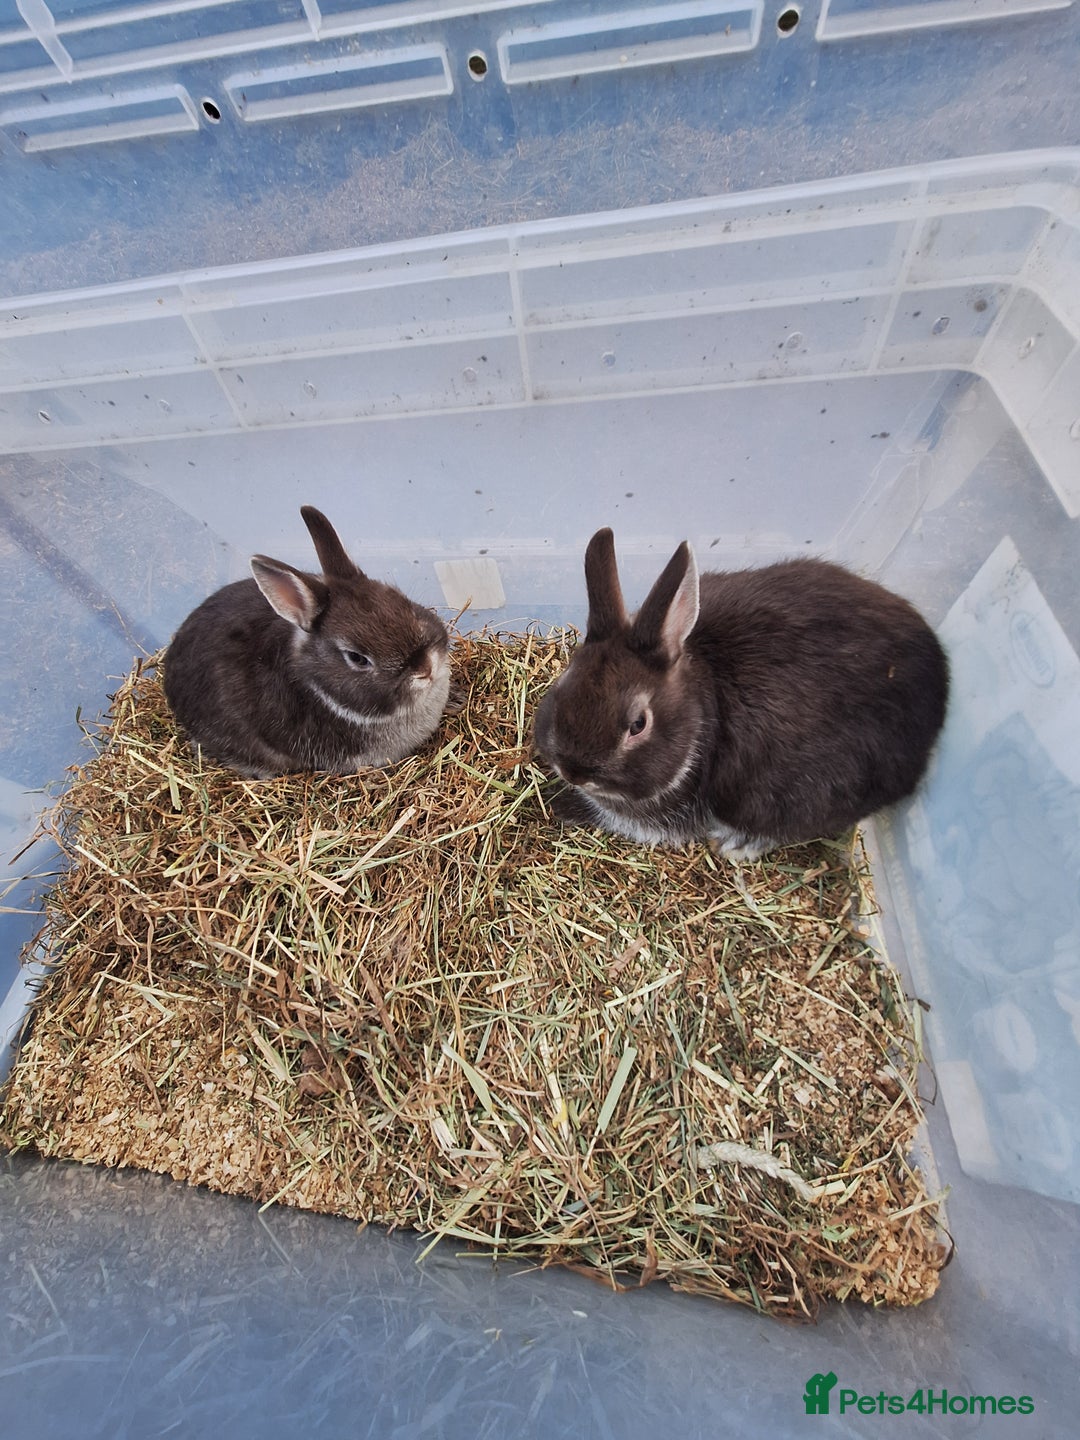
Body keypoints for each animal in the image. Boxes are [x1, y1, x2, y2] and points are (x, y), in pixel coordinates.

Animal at [533, 528, 949, 860]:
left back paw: (739, 845)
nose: (574, 772)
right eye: (565, 680)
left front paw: (565, 806)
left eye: (638, 724)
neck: (703, 706)